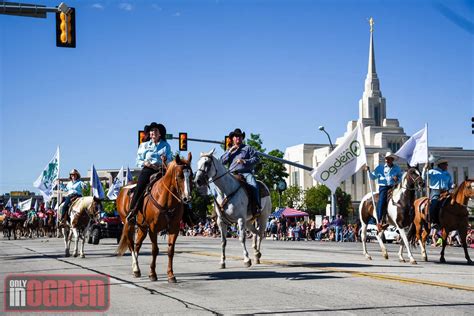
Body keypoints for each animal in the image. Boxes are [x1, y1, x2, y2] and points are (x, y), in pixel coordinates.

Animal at [115, 154, 192, 282]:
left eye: (191, 175)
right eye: (179, 175)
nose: (187, 198)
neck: (166, 199)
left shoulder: (174, 228)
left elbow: (170, 251)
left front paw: (171, 275)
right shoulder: (153, 228)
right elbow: (155, 250)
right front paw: (152, 274)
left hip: (142, 227)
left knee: (137, 245)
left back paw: (136, 270)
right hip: (128, 223)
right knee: (131, 244)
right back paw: (135, 268)